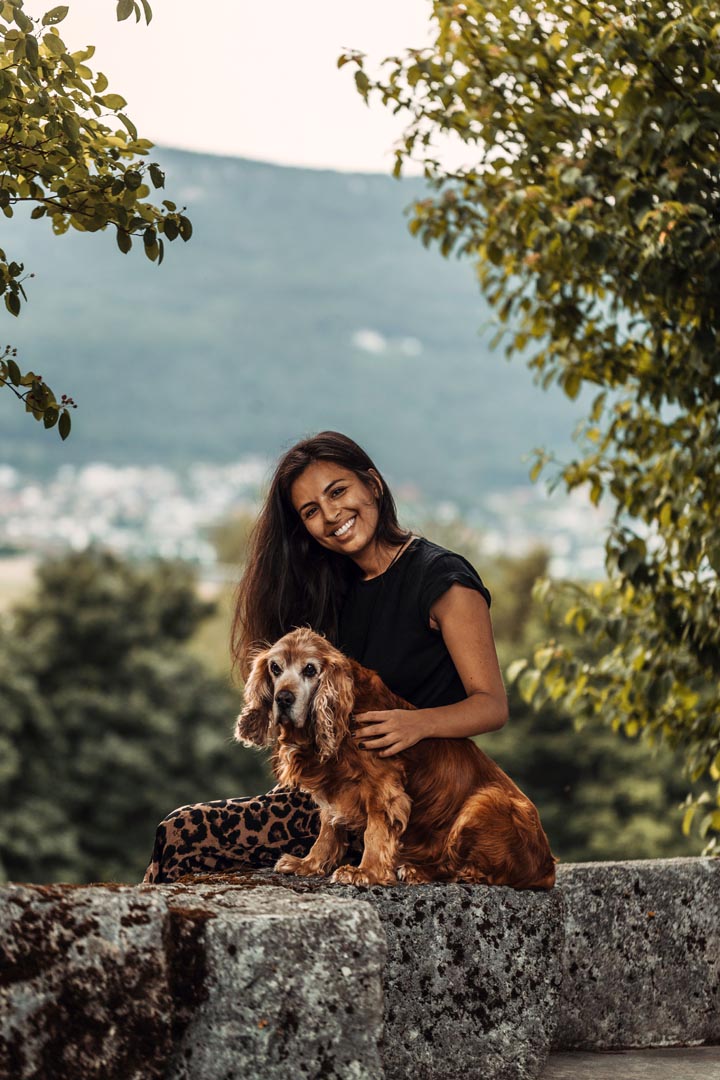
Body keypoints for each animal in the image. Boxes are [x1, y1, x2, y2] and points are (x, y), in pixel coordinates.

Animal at [236, 626, 557, 885]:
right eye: (275, 668)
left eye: (310, 670)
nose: (283, 698)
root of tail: (548, 868)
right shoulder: (335, 788)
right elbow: (327, 830)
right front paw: (309, 864)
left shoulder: (383, 789)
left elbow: (375, 833)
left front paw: (365, 872)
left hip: (483, 803)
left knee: (473, 870)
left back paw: (418, 870)